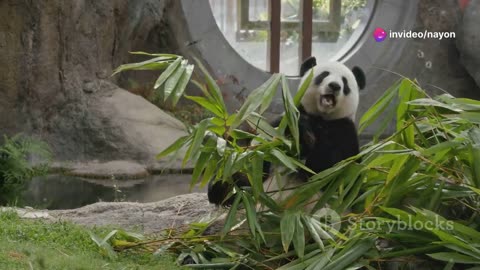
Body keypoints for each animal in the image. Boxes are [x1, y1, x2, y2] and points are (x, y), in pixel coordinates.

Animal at [208, 56, 366, 205]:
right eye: (324, 75)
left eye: (345, 82)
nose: (334, 85)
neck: (321, 116)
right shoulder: (283, 121)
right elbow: (261, 154)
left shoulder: (344, 130)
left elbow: (330, 168)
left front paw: (307, 139)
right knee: (239, 182)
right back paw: (221, 188)